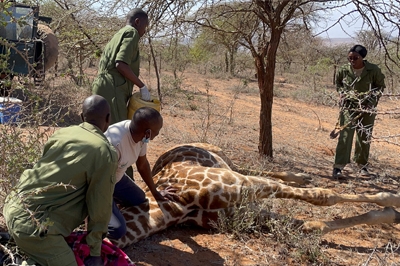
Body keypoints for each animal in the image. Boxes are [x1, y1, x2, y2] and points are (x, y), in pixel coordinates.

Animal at [111, 143, 400, 249]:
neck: (176, 206)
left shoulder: (237, 184)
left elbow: (323, 195)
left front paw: (392, 199)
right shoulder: (238, 211)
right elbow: (312, 225)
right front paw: (390, 214)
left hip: (225, 161)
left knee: (258, 168)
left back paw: (303, 176)